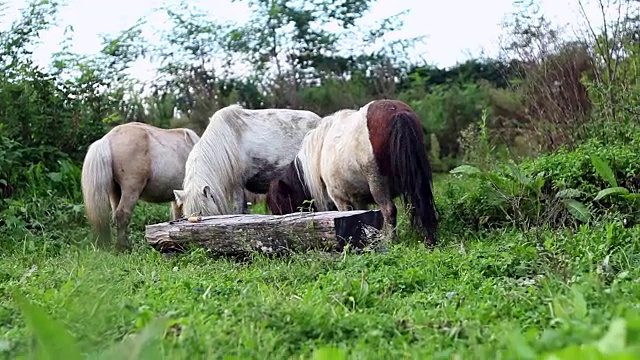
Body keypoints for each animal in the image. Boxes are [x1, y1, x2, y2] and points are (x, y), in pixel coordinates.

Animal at [264, 98, 440, 248]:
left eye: (281, 207)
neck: (320, 150)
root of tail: (396, 112)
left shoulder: (340, 199)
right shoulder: (358, 199)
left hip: (378, 184)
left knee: (389, 210)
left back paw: (390, 240)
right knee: (422, 202)